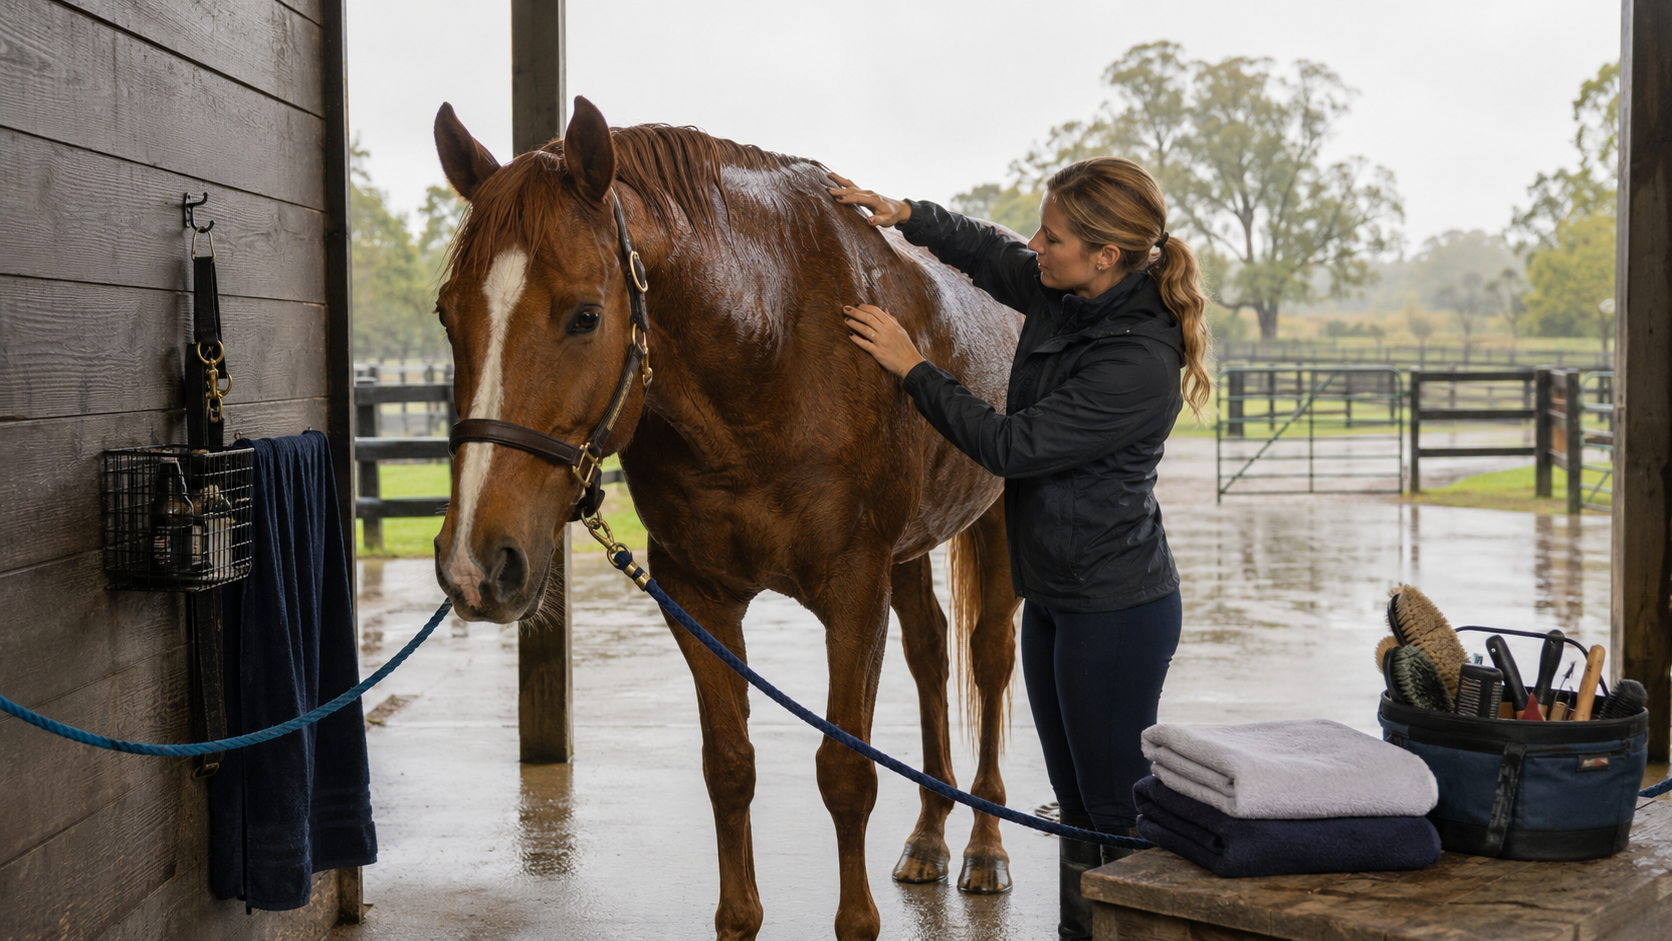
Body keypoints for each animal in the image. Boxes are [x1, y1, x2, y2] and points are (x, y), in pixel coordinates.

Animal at [431, 95, 1024, 941]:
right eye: (448, 316)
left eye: (585, 315)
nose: (476, 564)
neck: (772, 343)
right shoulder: (698, 597)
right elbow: (729, 766)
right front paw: (739, 914)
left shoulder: (853, 594)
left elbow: (846, 772)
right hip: (909, 552)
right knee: (931, 652)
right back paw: (929, 836)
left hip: (995, 523)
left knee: (988, 656)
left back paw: (983, 844)